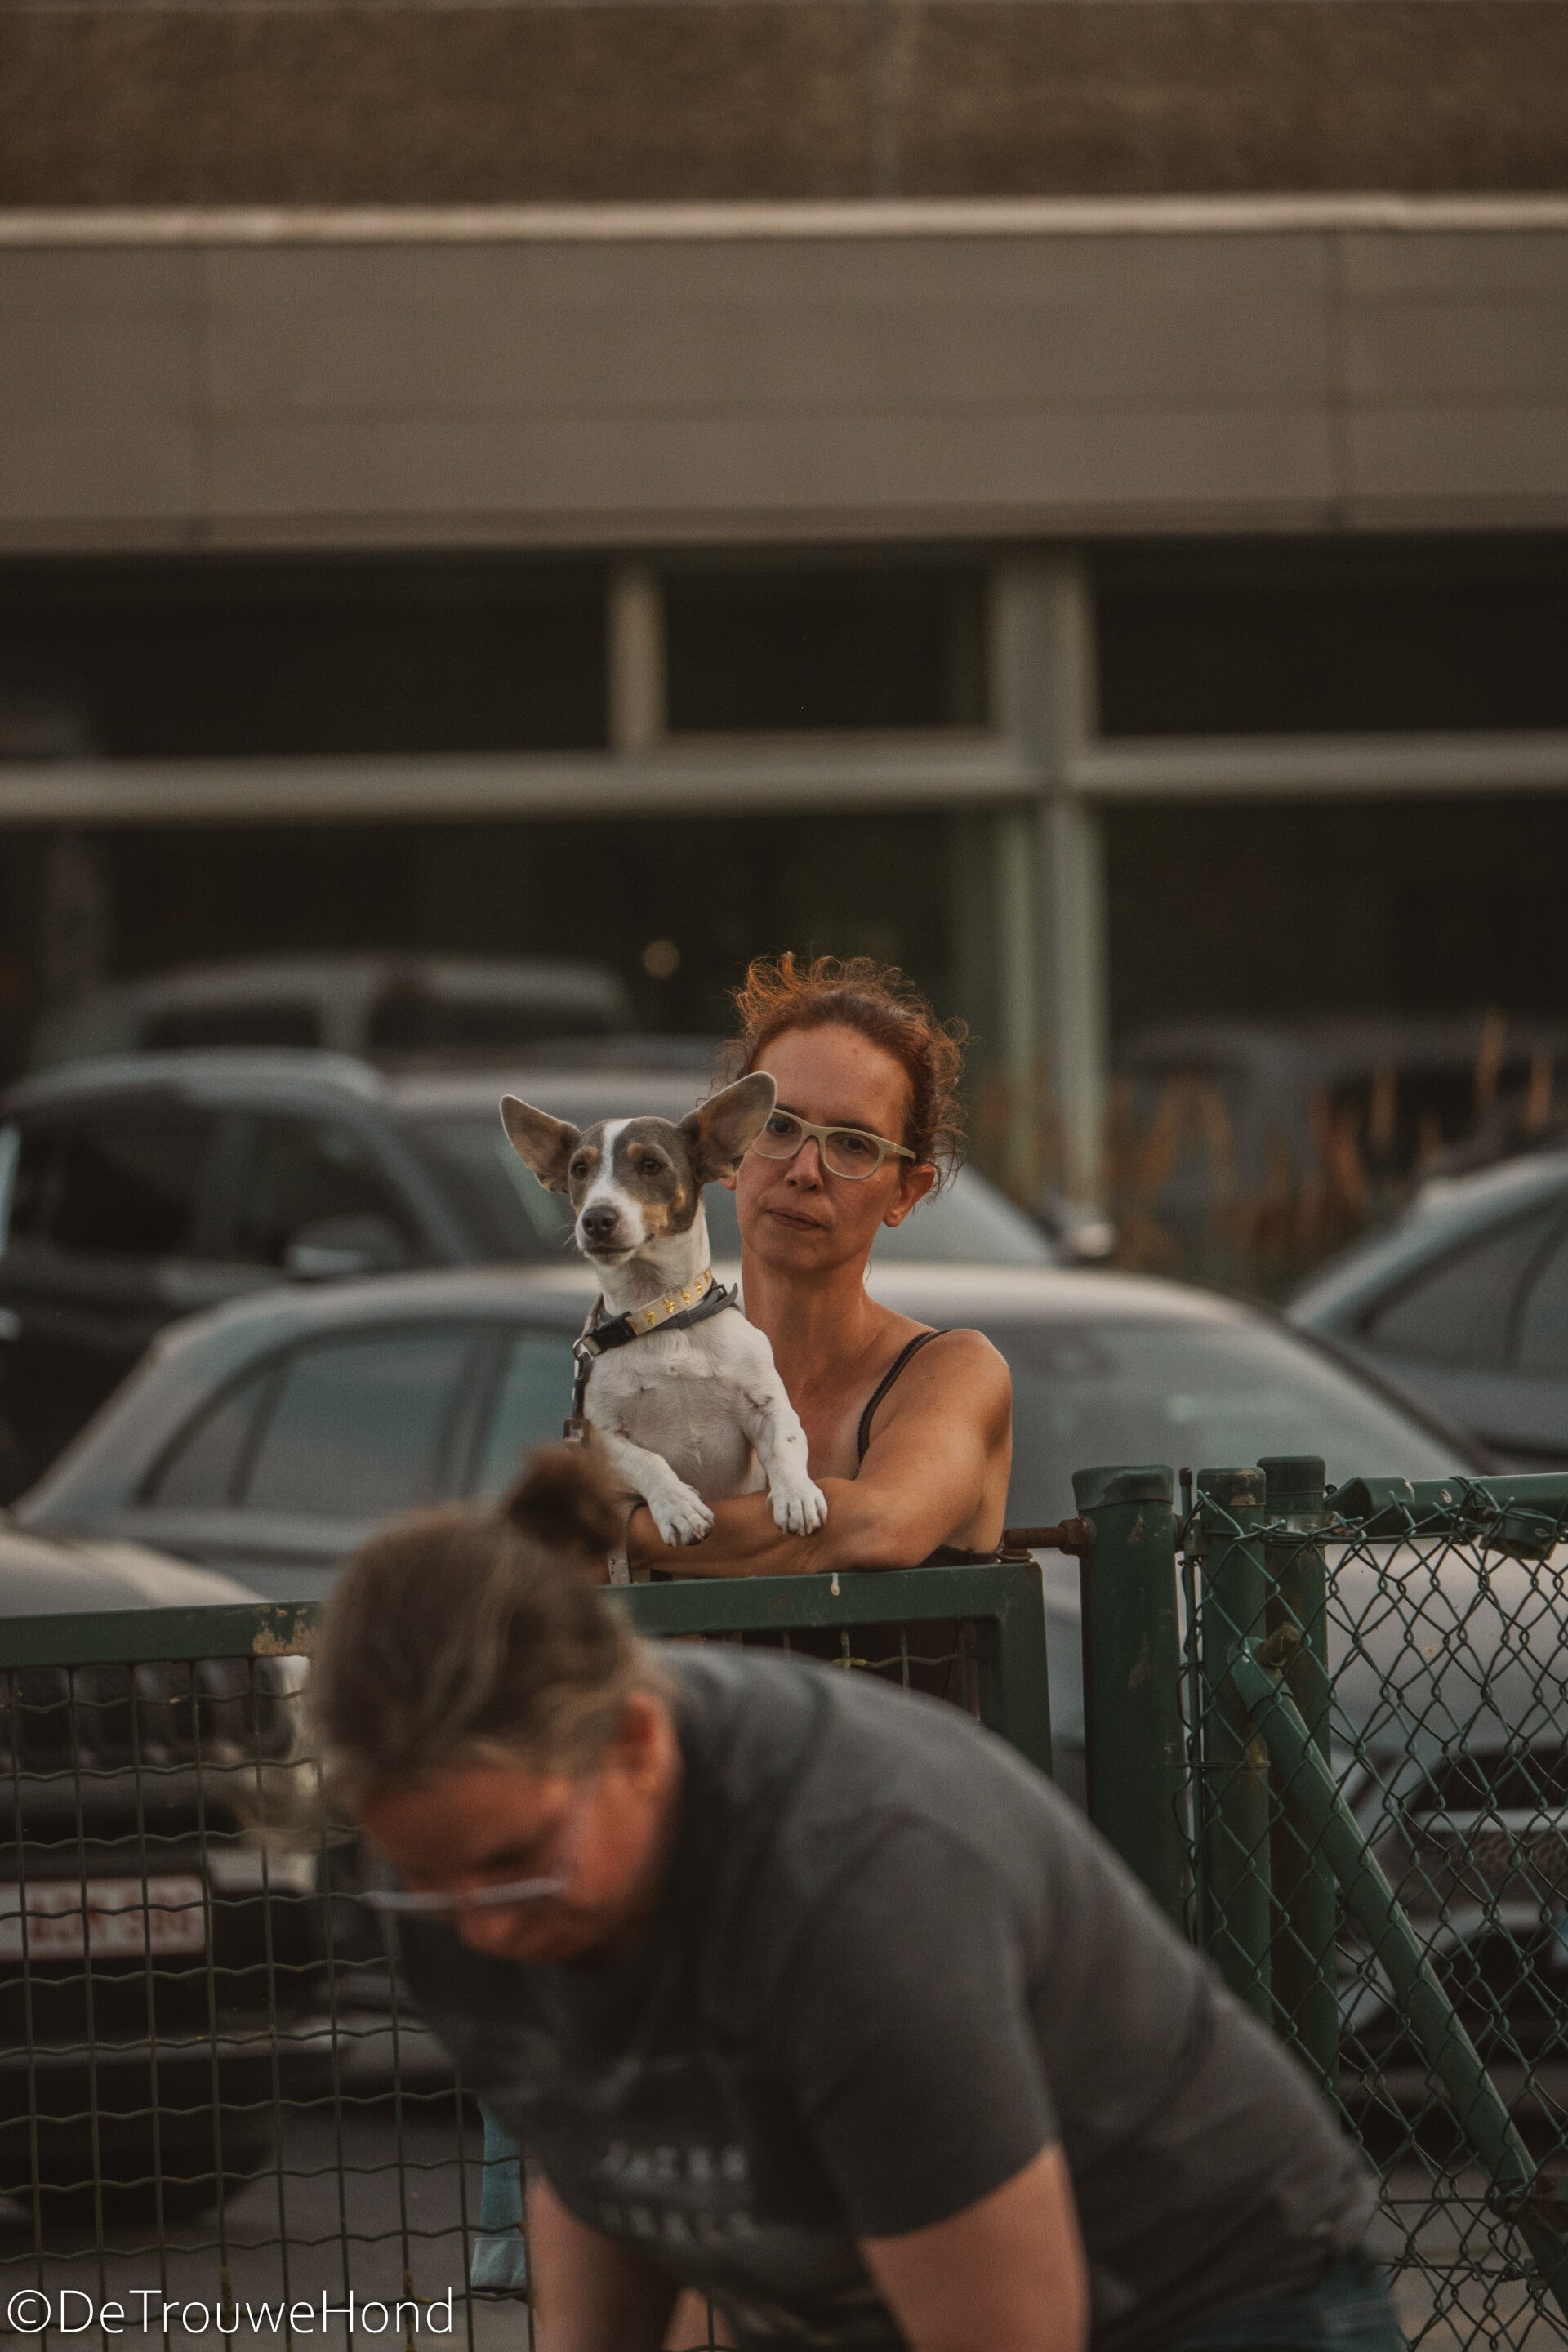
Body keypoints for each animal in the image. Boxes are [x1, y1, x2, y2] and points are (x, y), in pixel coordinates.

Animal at [498, 1074, 828, 1560]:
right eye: (579, 1170)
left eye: (651, 1165)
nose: (596, 1218)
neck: (659, 1313)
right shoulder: (602, 1439)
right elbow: (646, 1461)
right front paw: (678, 1508)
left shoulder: (768, 1408)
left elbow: (787, 1444)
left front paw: (797, 1495)